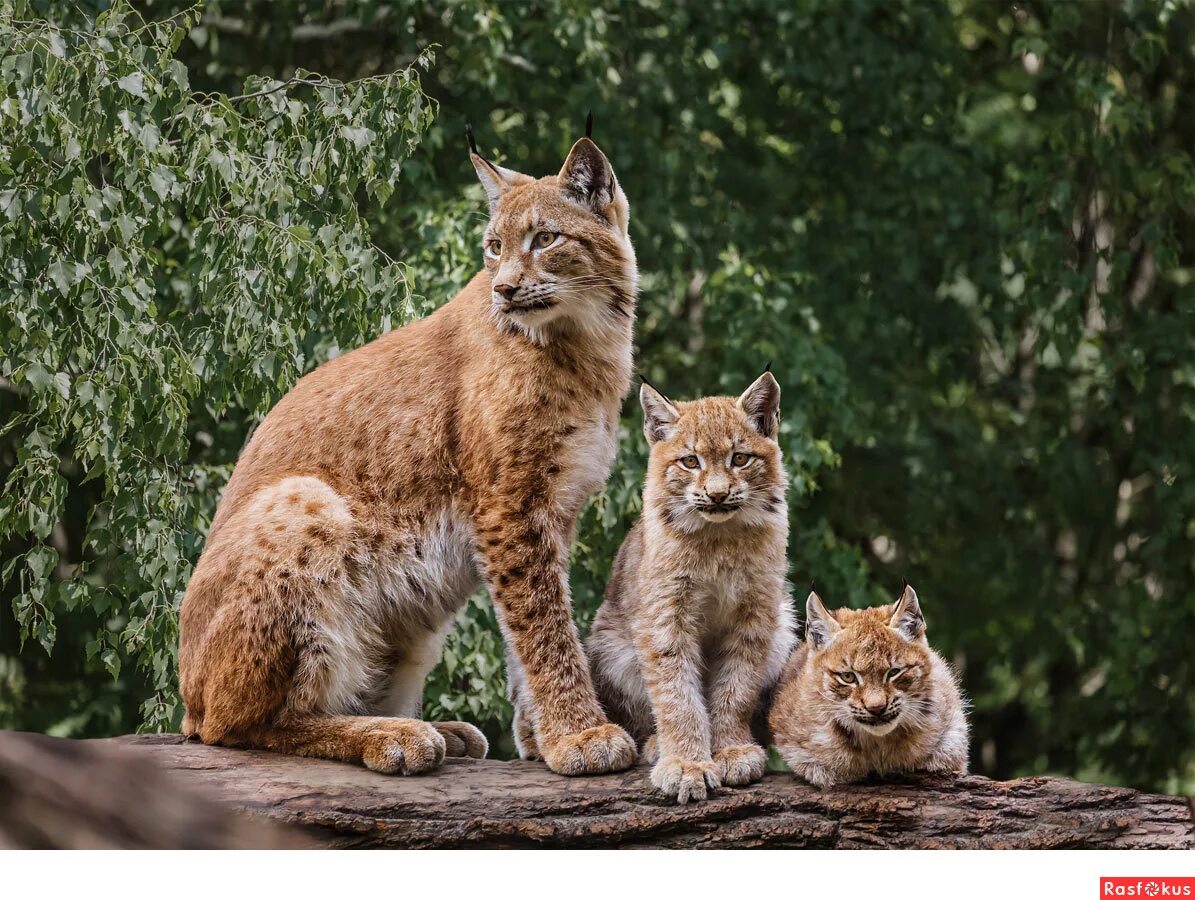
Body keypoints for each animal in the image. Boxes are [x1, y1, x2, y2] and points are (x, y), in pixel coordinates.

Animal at [585, 370, 793, 798]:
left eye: (740, 459)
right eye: (690, 461)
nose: (717, 494)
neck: (720, 536)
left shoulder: (757, 613)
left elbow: (737, 687)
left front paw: (730, 750)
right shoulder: (666, 618)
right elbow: (676, 693)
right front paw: (686, 764)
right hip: (611, 641)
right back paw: (655, 746)